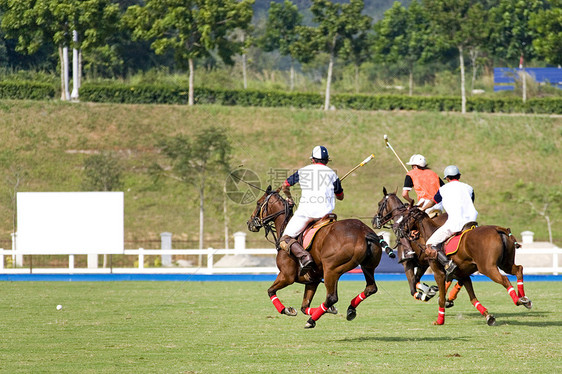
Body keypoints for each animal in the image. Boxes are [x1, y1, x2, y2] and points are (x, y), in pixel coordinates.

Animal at [247, 186, 388, 328]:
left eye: (258, 203)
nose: (250, 222)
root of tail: (364, 232)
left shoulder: (287, 276)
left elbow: (270, 291)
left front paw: (287, 310)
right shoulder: (312, 281)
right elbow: (304, 307)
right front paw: (330, 310)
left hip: (332, 269)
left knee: (332, 297)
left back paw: (311, 321)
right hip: (367, 266)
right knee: (371, 288)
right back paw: (350, 309)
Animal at [396, 206, 532, 326]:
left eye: (405, 217)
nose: (398, 230)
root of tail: (498, 229)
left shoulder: (438, 273)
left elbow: (441, 298)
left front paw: (440, 321)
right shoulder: (463, 276)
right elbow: (472, 299)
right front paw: (488, 317)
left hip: (487, 267)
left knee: (504, 279)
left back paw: (518, 300)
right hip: (505, 264)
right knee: (519, 269)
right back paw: (524, 298)